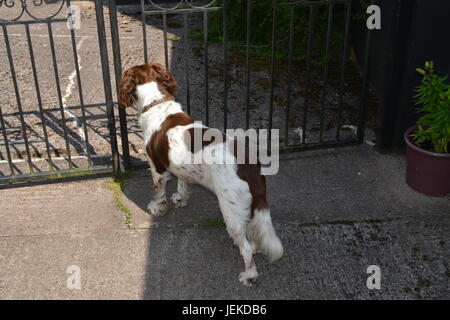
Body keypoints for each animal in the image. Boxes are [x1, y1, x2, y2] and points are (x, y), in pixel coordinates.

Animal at [118, 62, 282, 284]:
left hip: (230, 211)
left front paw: (157, 208)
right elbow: (183, 183)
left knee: (245, 246)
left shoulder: (157, 167)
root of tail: (250, 167)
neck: (156, 103)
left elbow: (159, 191)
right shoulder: (180, 167)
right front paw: (180, 199)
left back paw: (248, 275)